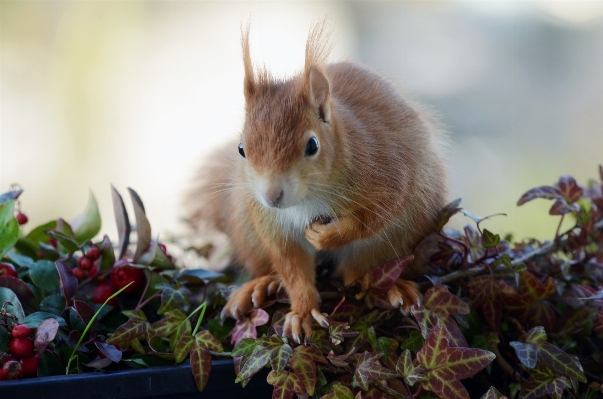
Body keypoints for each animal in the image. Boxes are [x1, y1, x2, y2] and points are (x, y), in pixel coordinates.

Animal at [188, 21, 448, 342]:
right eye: (241, 149)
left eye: (312, 145)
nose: (272, 196)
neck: (307, 200)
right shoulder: (273, 224)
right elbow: (292, 266)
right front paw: (302, 311)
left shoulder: (387, 172)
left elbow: (374, 217)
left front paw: (326, 236)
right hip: (248, 227)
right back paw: (258, 286)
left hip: (405, 232)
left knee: (362, 272)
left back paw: (390, 287)